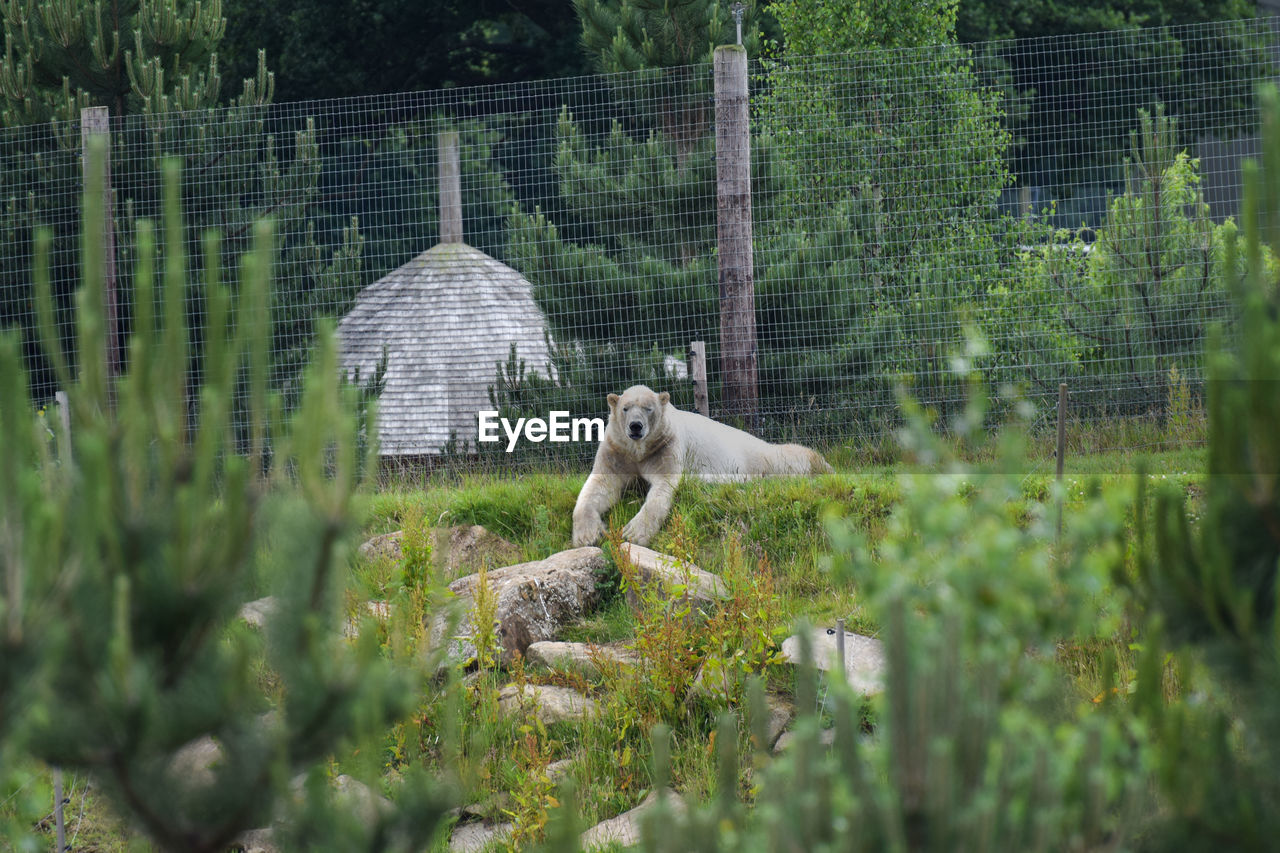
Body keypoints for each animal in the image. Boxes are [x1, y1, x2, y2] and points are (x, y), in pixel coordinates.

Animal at [573, 384, 834, 545]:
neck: (639, 451)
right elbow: (599, 486)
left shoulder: (666, 446)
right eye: (625, 408)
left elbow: (663, 487)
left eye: (649, 409)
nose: (635, 426)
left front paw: (634, 533)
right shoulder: (617, 450)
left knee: (789, 458)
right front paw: (587, 535)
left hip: (760, 456)